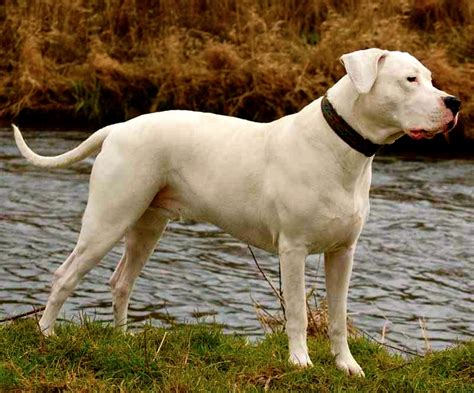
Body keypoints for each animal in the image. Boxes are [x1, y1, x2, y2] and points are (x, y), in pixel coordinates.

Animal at [13, 48, 460, 374]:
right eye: (410, 79)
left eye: (430, 78)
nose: (454, 102)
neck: (342, 147)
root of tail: (118, 127)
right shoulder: (293, 251)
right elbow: (298, 313)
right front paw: (300, 362)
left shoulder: (343, 253)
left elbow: (338, 315)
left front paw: (347, 366)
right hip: (108, 220)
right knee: (65, 275)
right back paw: (46, 336)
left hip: (147, 225)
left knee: (120, 282)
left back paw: (122, 340)